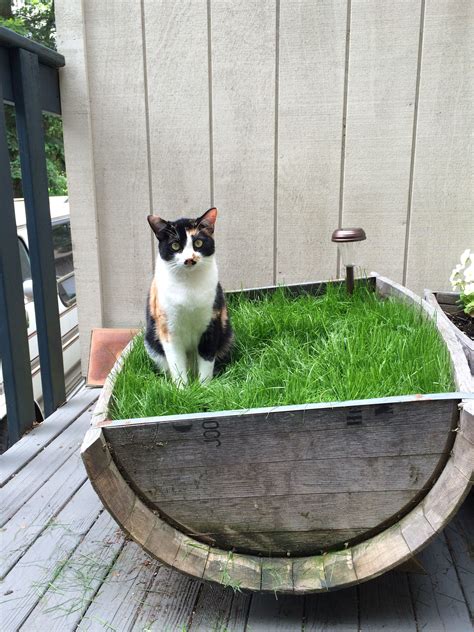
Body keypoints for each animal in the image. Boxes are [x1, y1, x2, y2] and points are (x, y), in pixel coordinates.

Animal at [144, 207, 233, 386]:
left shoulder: (211, 324)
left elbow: (206, 361)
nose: (189, 259)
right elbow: (177, 364)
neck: (189, 286)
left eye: (198, 243)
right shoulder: (169, 330)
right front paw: (182, 390)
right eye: (175, 245)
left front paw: (204, 388)